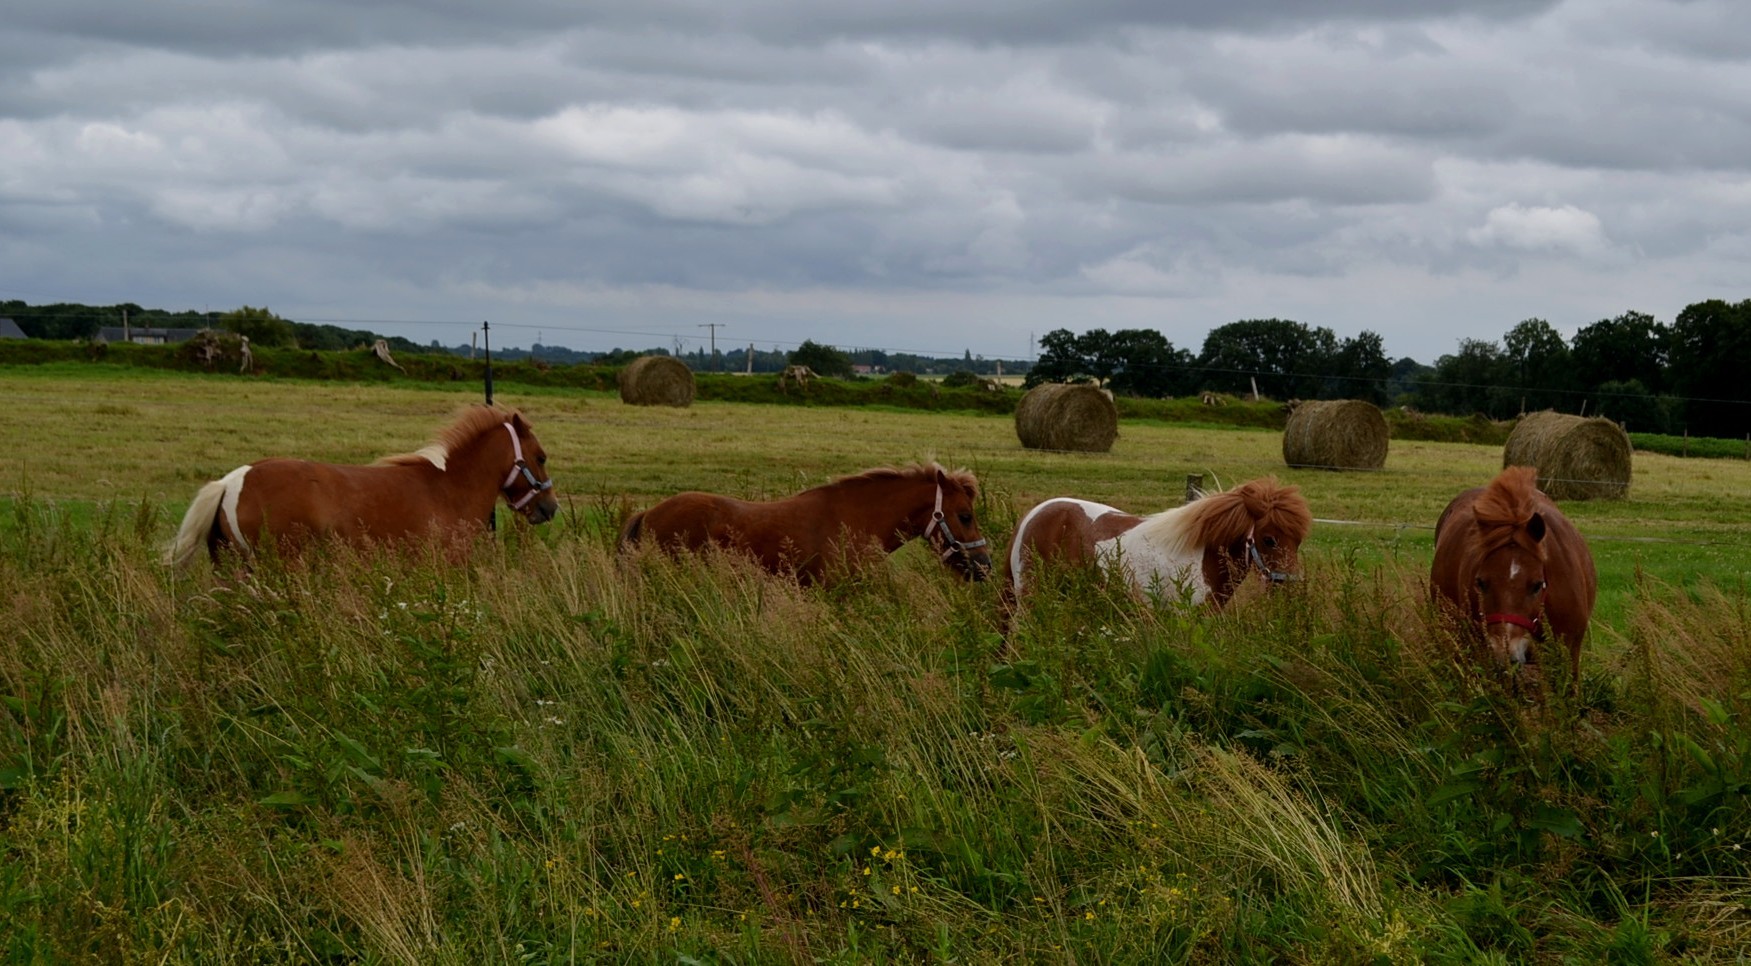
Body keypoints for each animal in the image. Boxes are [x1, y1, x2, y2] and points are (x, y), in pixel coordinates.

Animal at [1001, 476, 1316, 616]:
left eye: (1298, 540)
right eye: (1269, 539)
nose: (1289, 587)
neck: (1201, 558)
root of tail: (1032, 515)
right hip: (1031, 598)